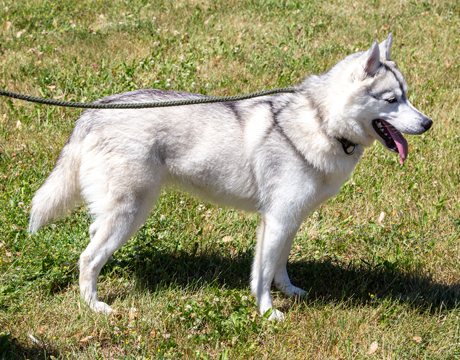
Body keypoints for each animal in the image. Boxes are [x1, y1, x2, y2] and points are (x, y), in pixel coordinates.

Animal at [28, 34, 432, 320]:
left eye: (407, 96)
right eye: (392, 99)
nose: (428, 123)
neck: (320, 122)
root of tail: (94, 110)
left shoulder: (287, 220)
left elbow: (279, 265)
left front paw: (289, 292)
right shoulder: (277, 220)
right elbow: (262, 274)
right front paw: (267, 312)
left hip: (121, 212)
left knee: (92, 238)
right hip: (130, 213)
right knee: (87, 259)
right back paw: (93, 307)